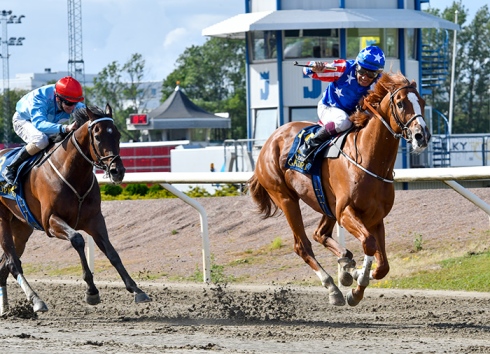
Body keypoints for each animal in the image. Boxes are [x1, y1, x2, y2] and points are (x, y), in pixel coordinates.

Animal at [0, 103, 150, 314]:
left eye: (118, 134)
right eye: (98, 136)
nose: (117, 171)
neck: (72, 174)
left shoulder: (95, 219)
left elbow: (111, 252)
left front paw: (136, 289)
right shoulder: (50, 221)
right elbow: (77, 239)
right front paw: (91, 290)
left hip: (22, 227)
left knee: (4, 264)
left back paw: (6, 308)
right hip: (3, 220)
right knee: (12, 262)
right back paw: (36, 300)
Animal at [249, 70, 428, 306]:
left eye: (422, 102)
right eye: (400, 103)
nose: (421, 135)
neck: (369, 159)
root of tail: (270, 140)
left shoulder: (375, 217)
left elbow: (382, 266)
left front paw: (357, 275)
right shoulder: (346, 212)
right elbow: (369, 244)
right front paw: (356, 288)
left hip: (326, 203)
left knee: (319, 234)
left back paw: (346, 265)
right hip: (285, 198)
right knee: (302, 245)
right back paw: (333, 287)